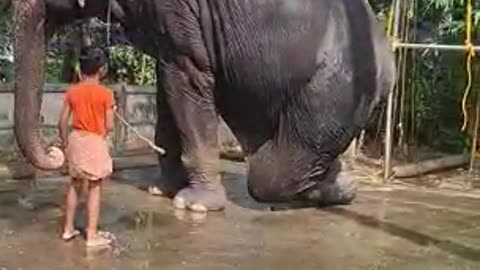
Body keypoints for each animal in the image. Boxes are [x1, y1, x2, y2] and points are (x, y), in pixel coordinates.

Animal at [13, 0, 396, 212]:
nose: (55, 153)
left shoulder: (179, 16)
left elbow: (188, 78)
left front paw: (194, 205)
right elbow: (168, 86)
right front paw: (161, 191)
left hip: (334, 89)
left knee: (266, 175)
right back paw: (339, 186)